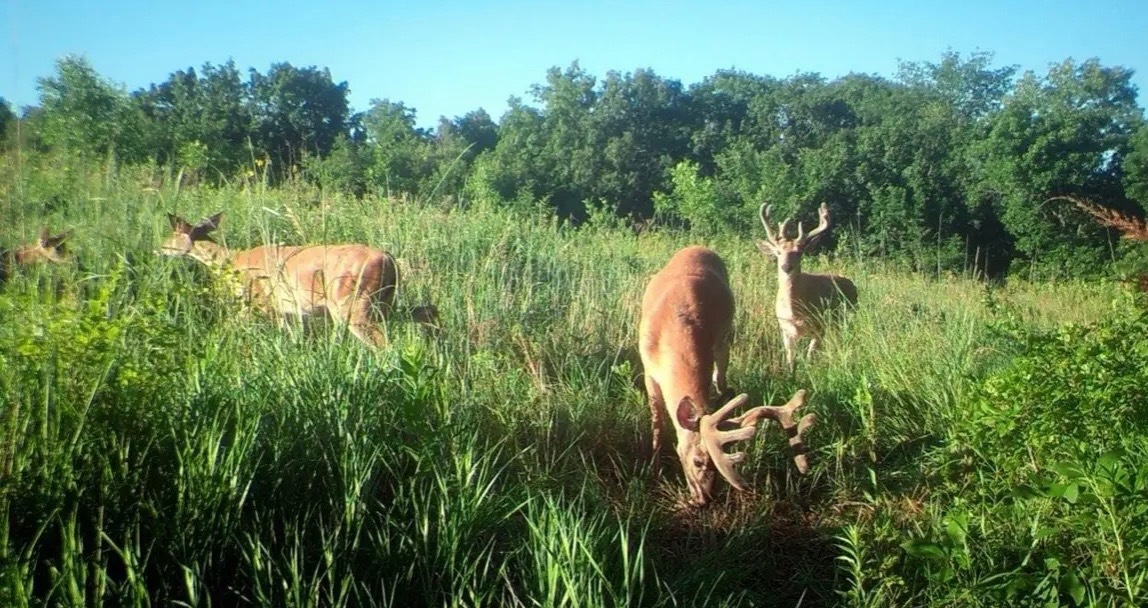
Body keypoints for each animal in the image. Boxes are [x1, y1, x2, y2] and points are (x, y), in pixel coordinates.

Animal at [158, 212, 399, 346]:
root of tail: (388, 258)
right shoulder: (286, 311)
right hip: (382, 304)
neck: (234, 262)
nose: (160, 248)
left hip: (351, 303)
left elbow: (228, 326)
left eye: (173, 234)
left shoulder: (258, 303)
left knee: (382, 344)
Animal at [638, 243, 817, 504]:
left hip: (725, 341)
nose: (704, 500)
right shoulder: (648, 369)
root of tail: (698, 246)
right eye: (698, 461)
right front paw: (653, 468)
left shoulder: (716, 347)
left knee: (720, 381)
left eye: (716, 465)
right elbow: (657, 420)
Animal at [757, 201, 858, 369]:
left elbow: (810, 358)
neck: (794, 313)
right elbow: (790, 360)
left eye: (799, 252)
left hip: (847, 315)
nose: (786, 267)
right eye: (778, 252)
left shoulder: (819, 326)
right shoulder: (785, 329)